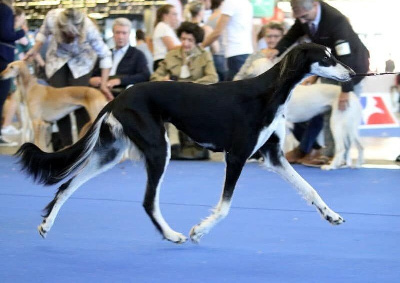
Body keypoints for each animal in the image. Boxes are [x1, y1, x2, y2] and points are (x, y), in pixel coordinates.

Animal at [17, 43, 354, 245]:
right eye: (327, 58)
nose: (352, 73)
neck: (268, 92)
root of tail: (118, 97)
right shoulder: (237, 156)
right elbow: (225, 207)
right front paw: (198, 230)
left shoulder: (272, 156)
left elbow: (309, 189)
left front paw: (331, 215)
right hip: (157, 148)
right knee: (148, 201)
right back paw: (172, 234)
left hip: (110, 153)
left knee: (66, 185)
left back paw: (46, 225)